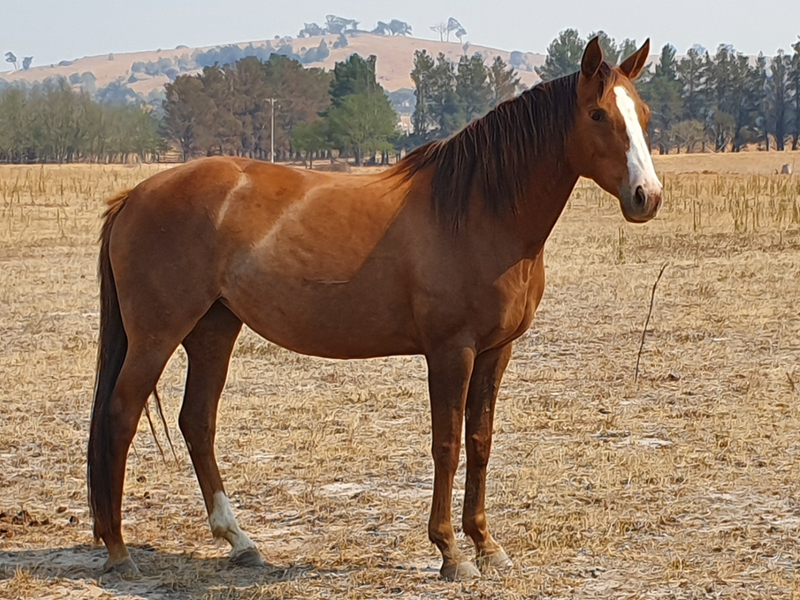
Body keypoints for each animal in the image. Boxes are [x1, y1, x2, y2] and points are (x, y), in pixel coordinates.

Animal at [88, 37, 661, 580]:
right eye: (598, 115)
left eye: (644, 114)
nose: (647, 196)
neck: (478, 212)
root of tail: (135, 195)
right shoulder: (451, 352)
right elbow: (447, 444)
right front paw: (451, 552)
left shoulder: (497, 351)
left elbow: (480, 442)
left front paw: (487, 545)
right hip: (157, 335)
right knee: (121, 416)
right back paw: (118, 551)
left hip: (213, 328)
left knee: (197, 422)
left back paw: (240, 541)